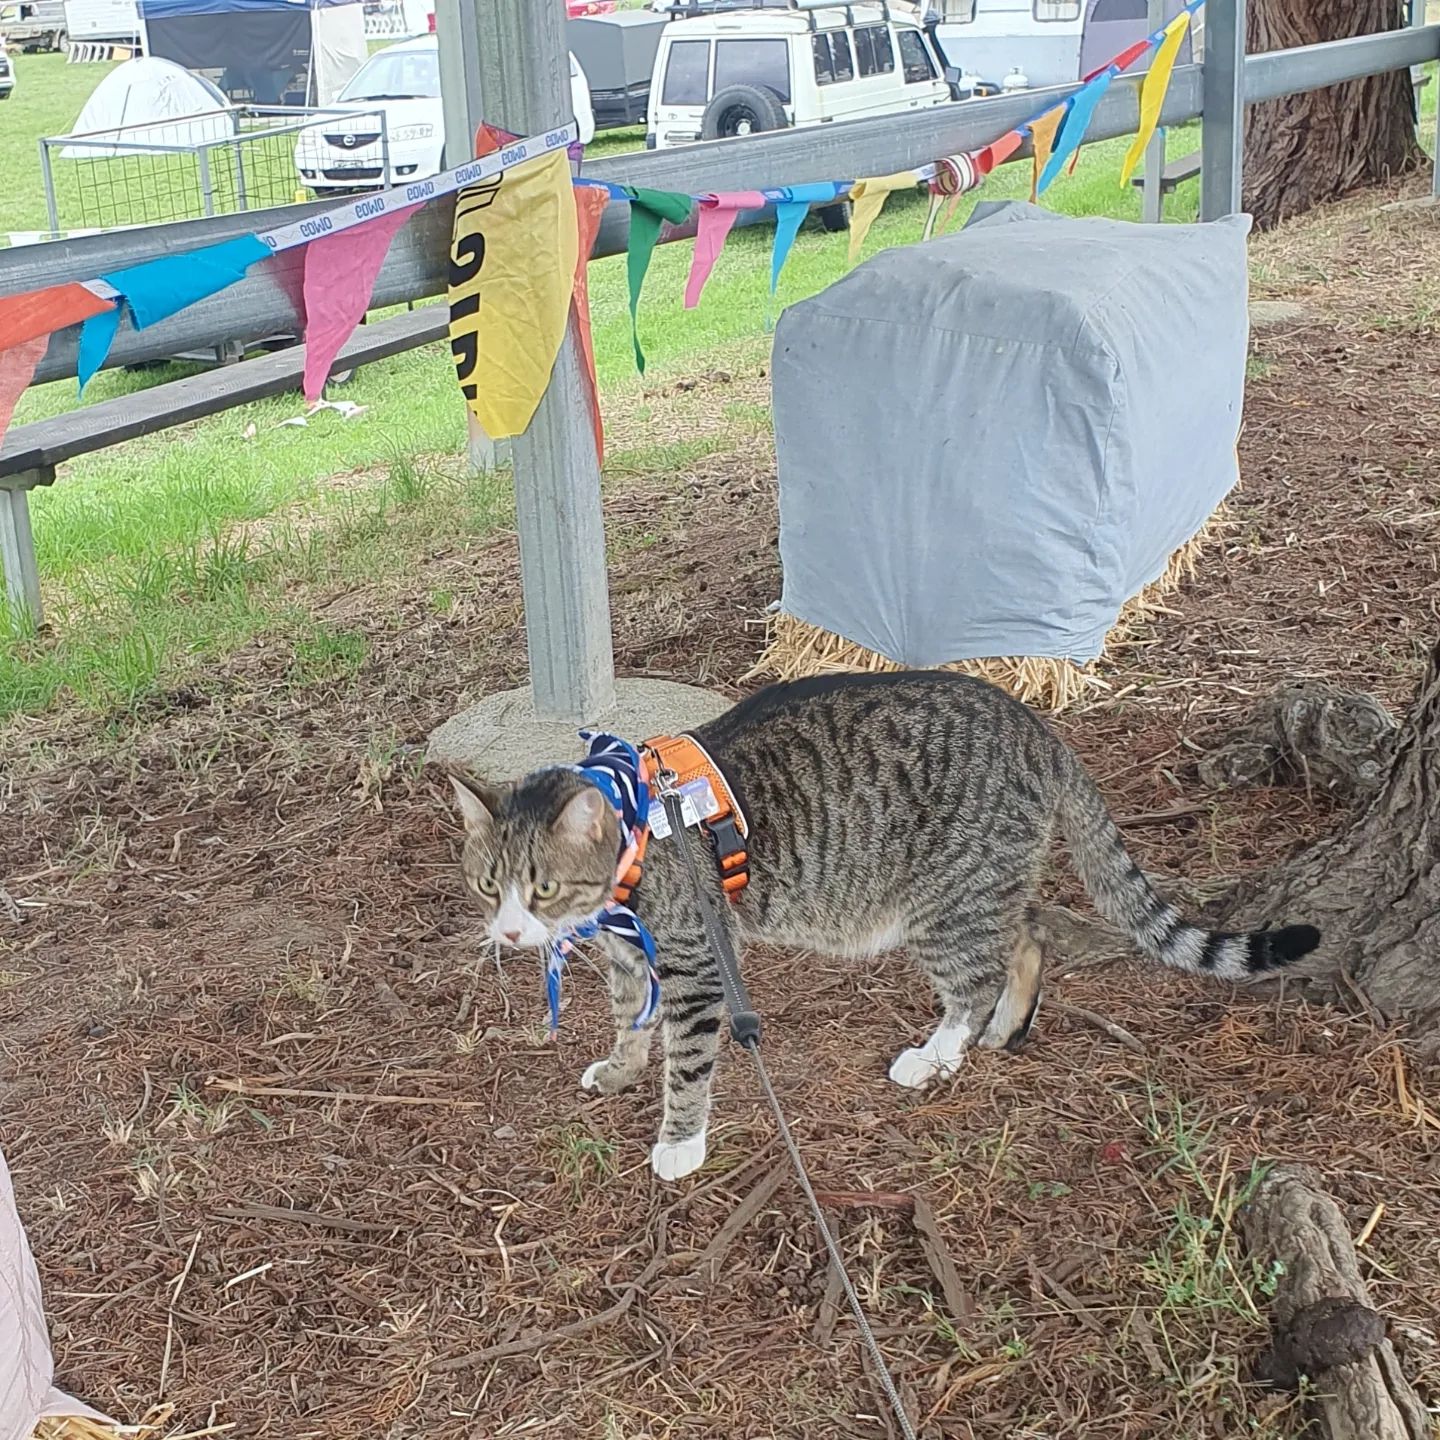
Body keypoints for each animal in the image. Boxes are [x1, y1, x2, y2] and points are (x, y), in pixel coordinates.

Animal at [446, 673, 1319, 1180]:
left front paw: (680, 1140)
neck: (633, 828)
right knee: (1028, 930)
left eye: (542, 887)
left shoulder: (694, 962)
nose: (512, 935)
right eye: (489, 886)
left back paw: (939, 1053)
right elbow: (632, 1022)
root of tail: (1034, 725)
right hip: (981, 885)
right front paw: (622, 1068)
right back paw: (1005, 1028)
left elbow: (686, 1059)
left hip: (943, 900)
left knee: (978, 975)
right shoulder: (631, 957)